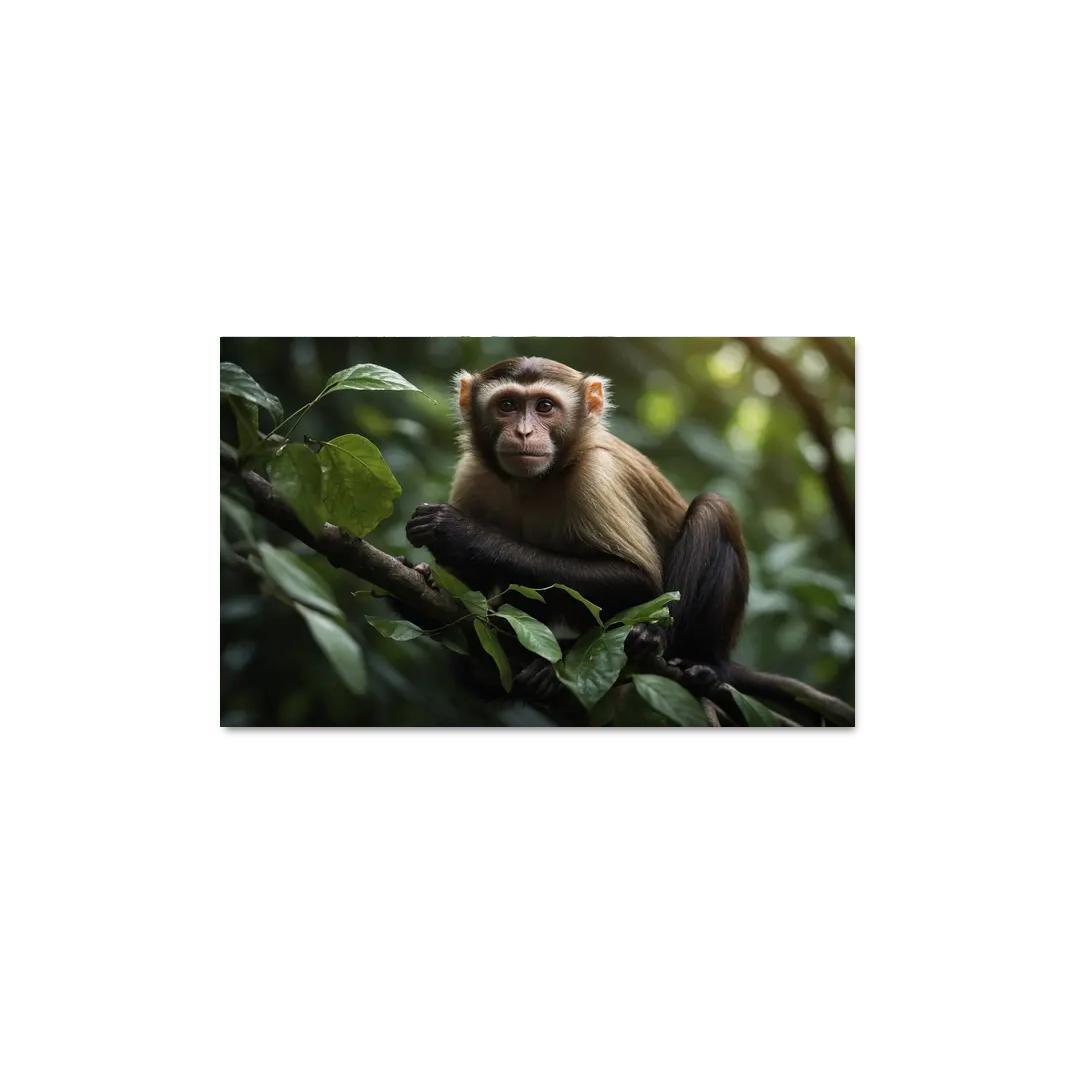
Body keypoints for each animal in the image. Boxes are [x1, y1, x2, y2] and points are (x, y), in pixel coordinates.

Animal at [404, 356, 750, 698]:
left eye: (545, 406)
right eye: (507, 405)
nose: (523, 432)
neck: (536, 481)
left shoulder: (595, 477)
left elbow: (639, 579)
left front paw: (459, 533)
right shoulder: (473, 473)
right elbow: (466, 586)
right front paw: (427, 579)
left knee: (712, 510)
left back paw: (692, 659)